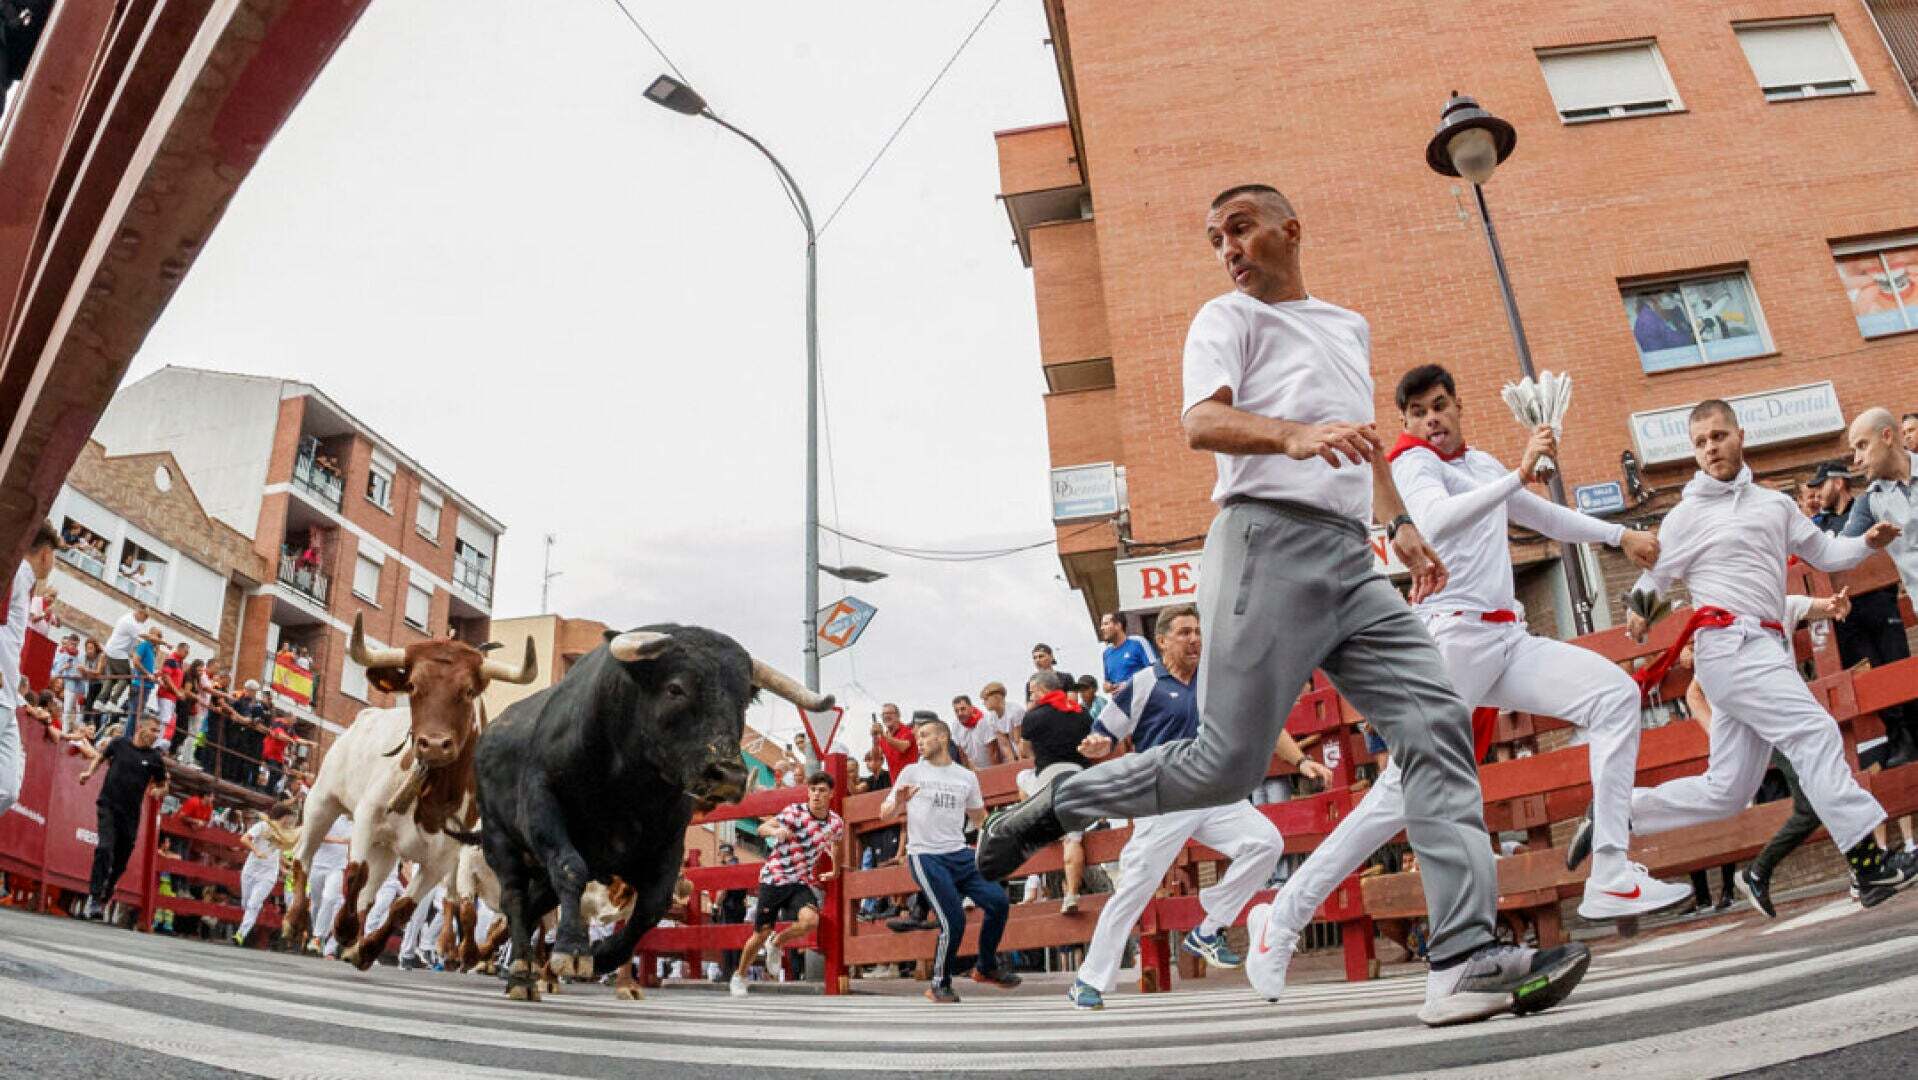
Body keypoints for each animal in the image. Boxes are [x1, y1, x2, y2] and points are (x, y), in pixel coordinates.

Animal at [464, 629, 832, 1005]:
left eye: (742, 700)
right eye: (675, 688)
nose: (728, 775)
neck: (628, 782)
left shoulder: (668, 843)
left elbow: (653, 906)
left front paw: (603, 955)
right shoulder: (542, 806)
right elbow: (570, 868)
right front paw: (573, 949)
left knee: (533, 903)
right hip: (499, 840)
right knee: (514, 897)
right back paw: (520, 973)